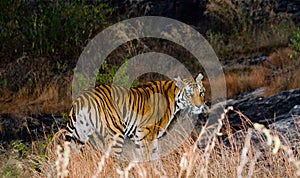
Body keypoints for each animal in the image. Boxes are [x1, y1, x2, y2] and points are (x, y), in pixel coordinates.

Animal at [66, 73, 207, 161]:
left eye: (201, 92)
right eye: (189, 94)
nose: (200, 106)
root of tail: (82, 97)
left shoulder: (144, 137)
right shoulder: (147, 135)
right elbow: (148, 158)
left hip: (80, 136)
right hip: (115, 135)